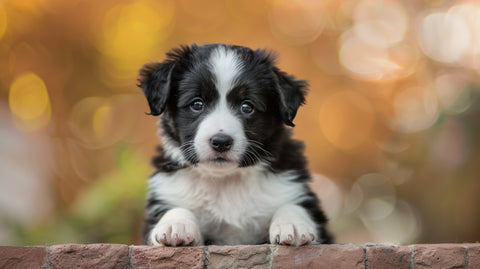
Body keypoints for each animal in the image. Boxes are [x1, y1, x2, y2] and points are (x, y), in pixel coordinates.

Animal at [137, 43, 332, 246]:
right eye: (197, 104)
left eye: (247, 107)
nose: (221, 142)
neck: (227, 182)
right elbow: (176, 208)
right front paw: (175, 225)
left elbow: (291, 205)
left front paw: (293, 224)